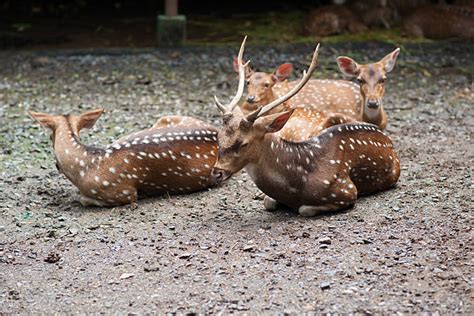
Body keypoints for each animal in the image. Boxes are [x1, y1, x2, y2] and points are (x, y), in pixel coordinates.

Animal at [30, 108, 219, 207]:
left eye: (50, 136)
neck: (86, 167)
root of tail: (217, 131)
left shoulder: (123, 193)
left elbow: (82, 198)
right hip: (166, 118)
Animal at [211, 35, 400, 216]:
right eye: (218, 138)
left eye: (243, 143)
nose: (216, 172)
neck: (296, 185)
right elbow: (268, 202)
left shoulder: (345, 190)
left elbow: (304, 209)